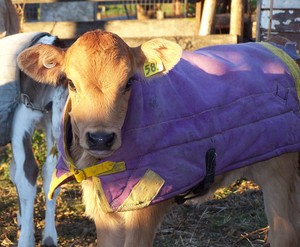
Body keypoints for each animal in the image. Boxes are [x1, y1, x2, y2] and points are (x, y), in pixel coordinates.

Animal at [17, 29, 300, 246]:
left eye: (129, 83)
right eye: (71, 83)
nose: (100, 138)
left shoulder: (145, 209)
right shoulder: (104, 212)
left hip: (279, 169)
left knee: (284, 232)